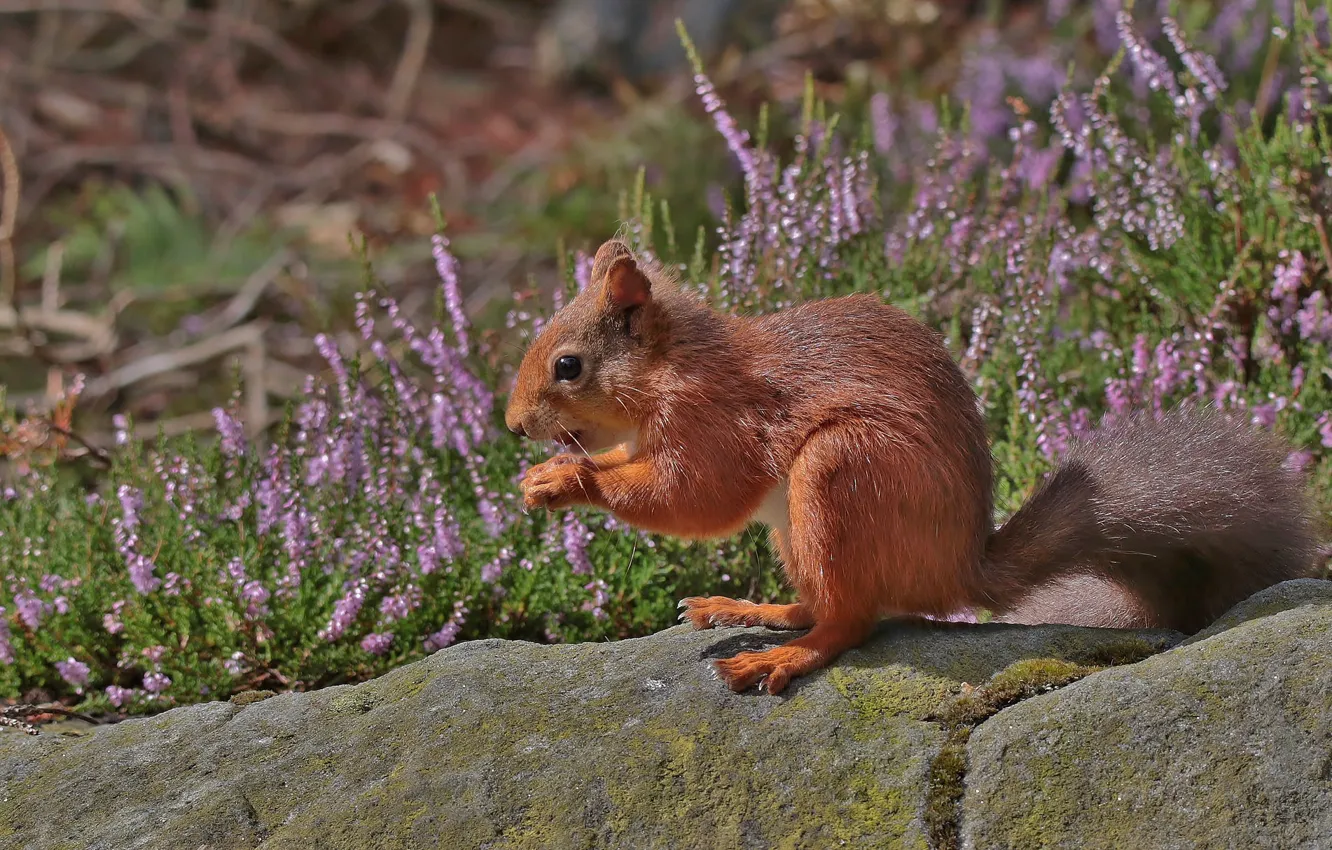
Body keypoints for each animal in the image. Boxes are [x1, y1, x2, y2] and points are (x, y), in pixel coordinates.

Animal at [500, 237, 1321, 698]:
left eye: (568, 366)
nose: (511, 425)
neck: (675, 366)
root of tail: (959, 570)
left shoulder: (716, 423)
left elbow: (696, 495)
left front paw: (571, 479)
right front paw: (547, 474)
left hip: (839, 473)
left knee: (852, 622)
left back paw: (786, 657)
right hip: (799, 531)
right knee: (827, 603)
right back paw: (754, 611)